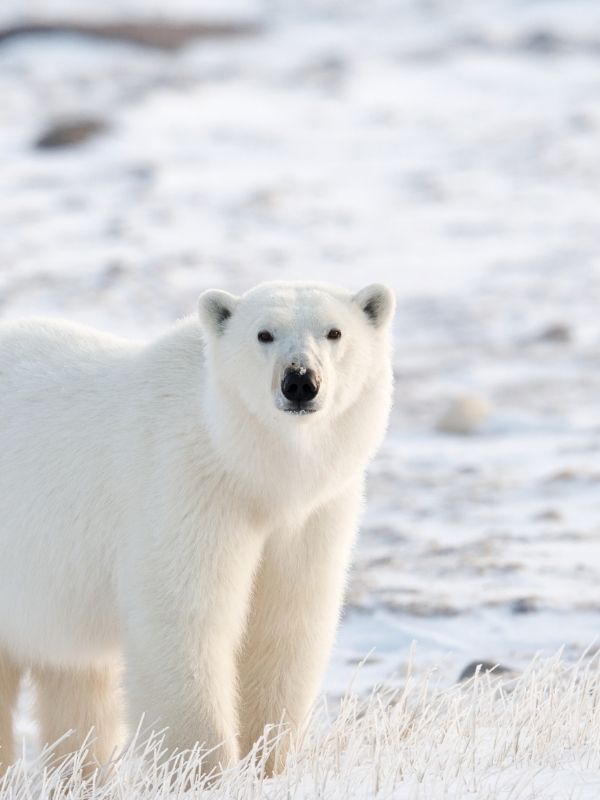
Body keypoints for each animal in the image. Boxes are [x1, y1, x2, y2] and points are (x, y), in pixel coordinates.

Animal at [0, 280, 394, 776]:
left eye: (334, 331)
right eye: (264, 333)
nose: (300, 381)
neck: (248, 467)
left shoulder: (310, 516)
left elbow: (284, 625)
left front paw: (269, 762)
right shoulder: (187, 487)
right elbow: (184, 619)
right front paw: (205, 771)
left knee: (76, 681)